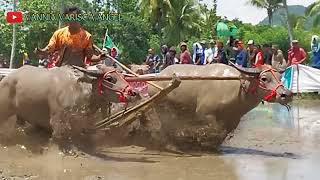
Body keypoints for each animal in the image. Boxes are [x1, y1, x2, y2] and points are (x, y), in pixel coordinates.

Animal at [0, 64, 138, 150]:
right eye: (109, 78)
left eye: (123, 76)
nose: (134, 93)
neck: (80, 89)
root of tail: (7, 78)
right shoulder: (58, 121)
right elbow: (58, 138)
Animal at [135, 63, 292, 150]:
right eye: (264, 78)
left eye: (280, 77)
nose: (286, 94)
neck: (237, 90)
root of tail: (157, 77)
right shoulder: (205, 114)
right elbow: (214, 130)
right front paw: (202, 142)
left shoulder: (233, 121)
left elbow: (222, 134)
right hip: (161, 109)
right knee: (162, 127)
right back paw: (171, 146)